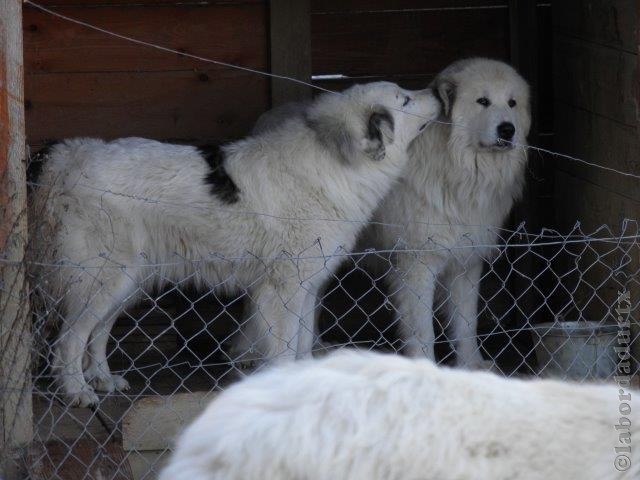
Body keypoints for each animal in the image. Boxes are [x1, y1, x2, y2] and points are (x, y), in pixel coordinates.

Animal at [31, 81, 440, 404]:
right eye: (405, 99)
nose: (437, 90)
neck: (334, 160)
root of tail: (72, 155)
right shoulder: (283, 290)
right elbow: (285, 348)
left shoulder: (306, 287)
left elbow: (304, 342)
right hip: (103, 279)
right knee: (69, 339)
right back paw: (77, 391)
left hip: (126, 281)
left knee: (97, 332)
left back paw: (101, 379)